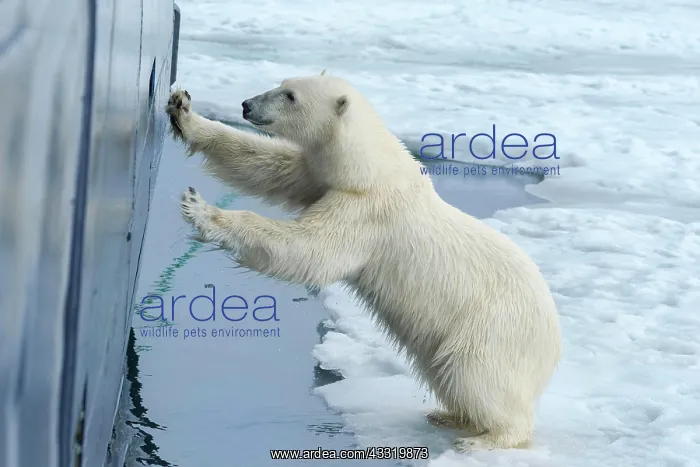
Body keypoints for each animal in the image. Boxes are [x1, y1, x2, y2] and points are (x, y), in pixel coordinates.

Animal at [165, 71, 562, 452]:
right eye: (282, 83)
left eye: (291, 95)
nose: (247, 105)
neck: (370, 169)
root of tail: (553, 344)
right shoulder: (322, 178)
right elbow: (267, 165)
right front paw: (183, 111)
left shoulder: (367, 210)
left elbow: (312, 249)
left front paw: (202, 211)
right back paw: (448, 416)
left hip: (491, 329)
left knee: (474, 373)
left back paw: (485, 437)